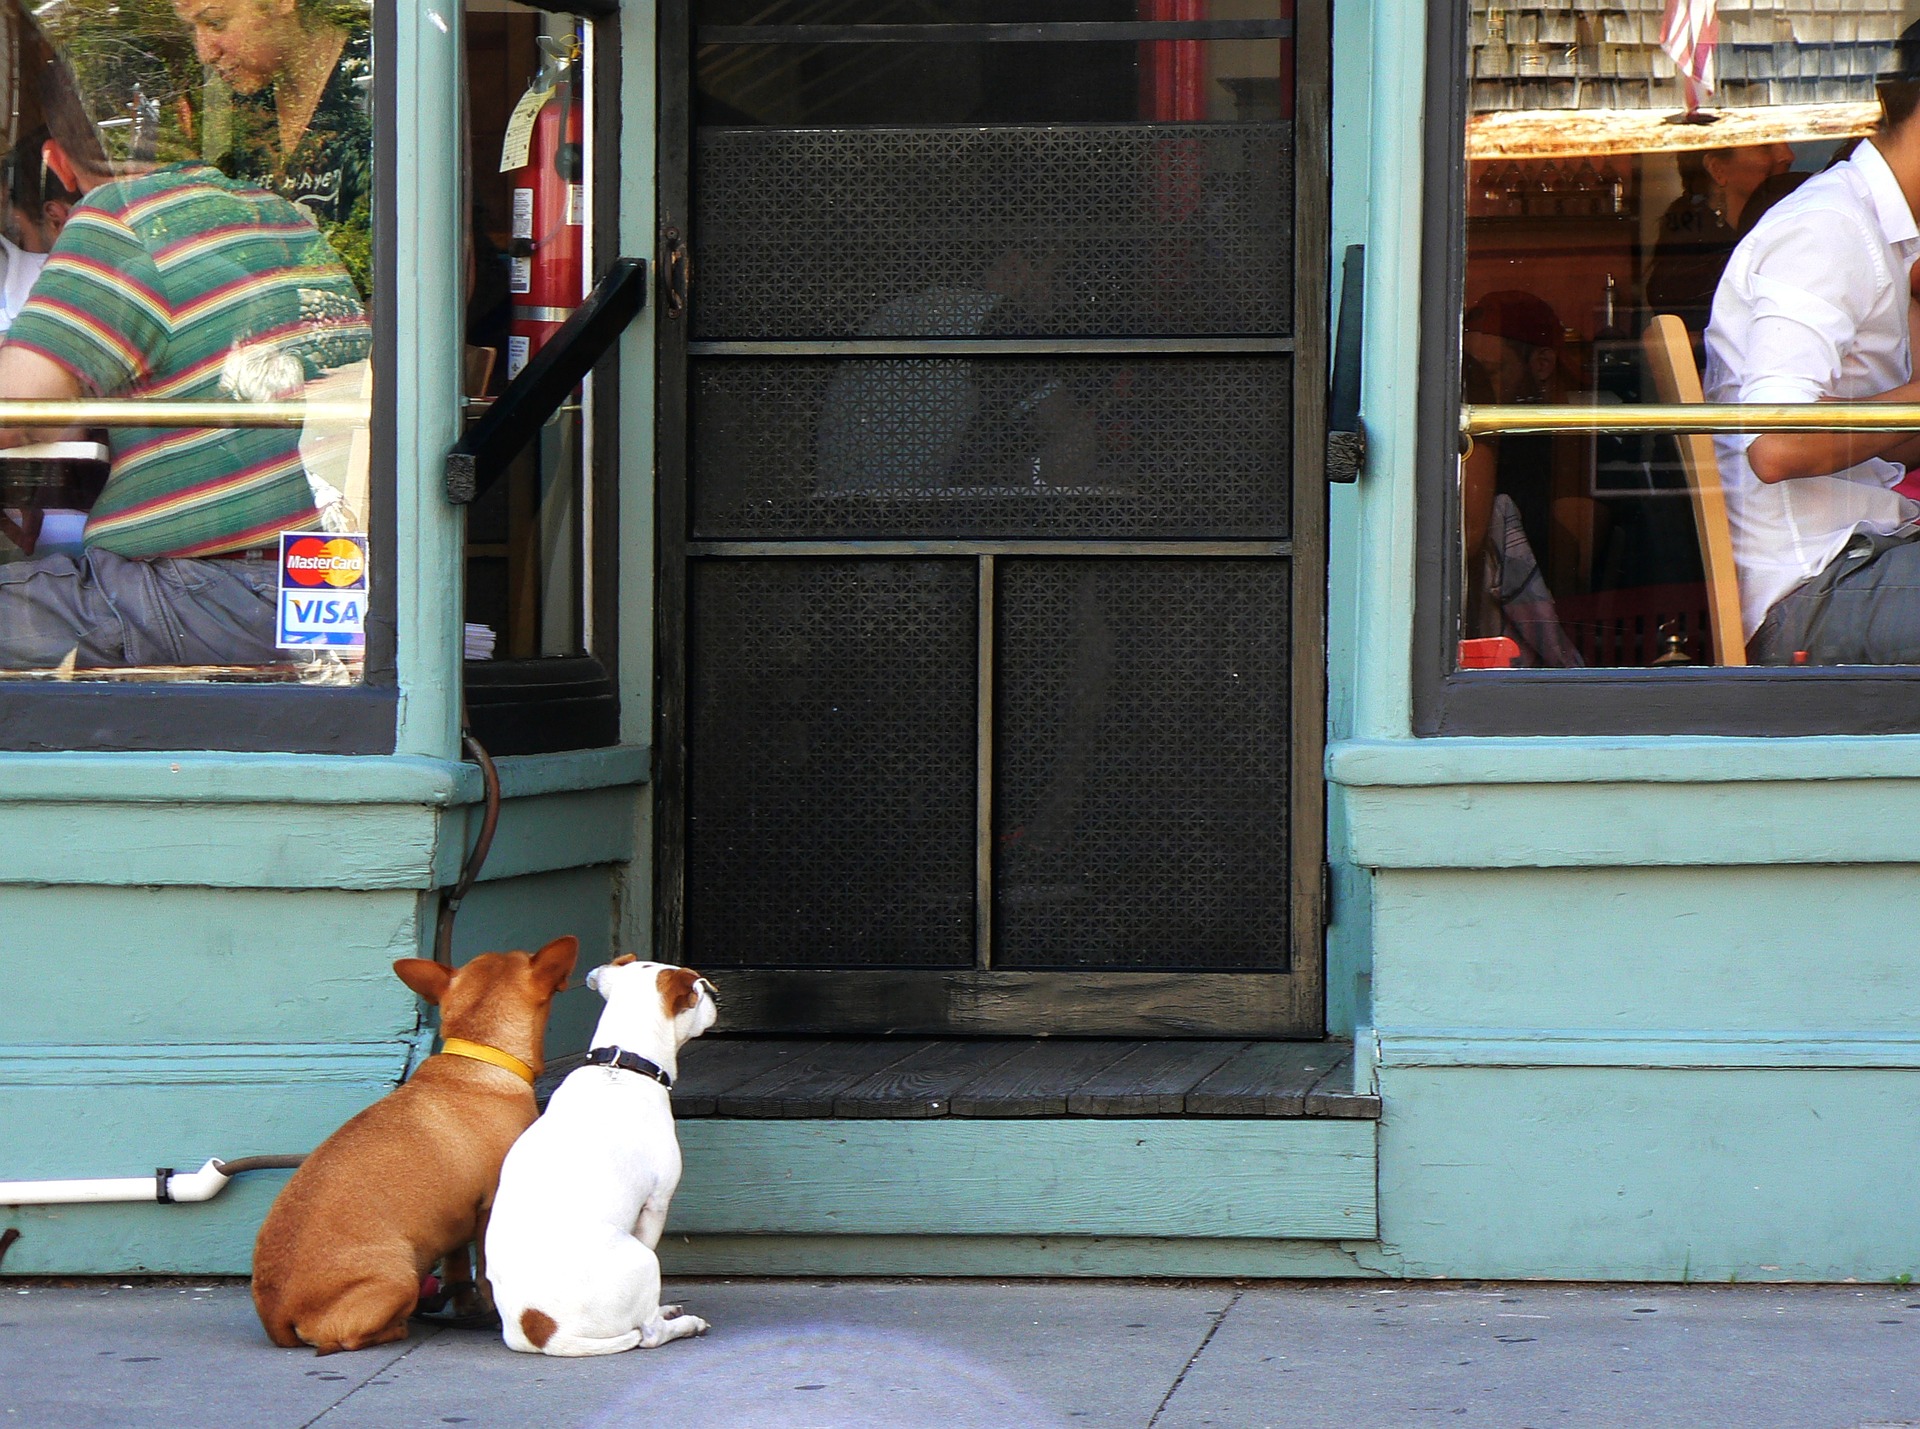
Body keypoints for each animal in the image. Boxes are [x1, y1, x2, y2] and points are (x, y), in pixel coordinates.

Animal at [249, 933, 576, 1359]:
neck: (480, 1057)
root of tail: (275, 1319)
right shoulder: (489, 1207)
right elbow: (487, 1273)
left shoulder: (458, 1219)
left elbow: (459, 1268)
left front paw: (468, 1307)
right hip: (398, 1277)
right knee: (343, 1339)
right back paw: (397, 1327)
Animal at [480, 952, 721, 1359]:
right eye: (700, 990)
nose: (717, 997)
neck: (620, 1065)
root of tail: (541, 1327)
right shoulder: (657, 1203)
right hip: (643, 1261)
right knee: (650, 1332)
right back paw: (683, 1325)